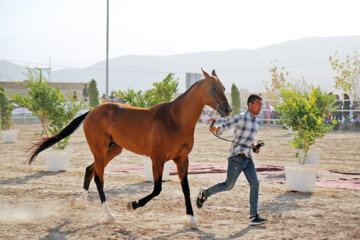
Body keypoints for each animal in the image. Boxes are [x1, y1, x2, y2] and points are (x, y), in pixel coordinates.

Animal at [28, 68, 231, 228]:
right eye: (213, 87)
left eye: (223, 87)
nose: (227, 110)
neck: (174, 120)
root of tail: (92, 111)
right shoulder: (157, 160)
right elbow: (157, 189)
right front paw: (132, 204)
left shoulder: (182, 159)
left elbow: (185, 189)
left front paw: (192, 219)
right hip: (100, 150)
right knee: (99, 179)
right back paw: (109, 215)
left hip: (113, 150)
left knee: (89, 170)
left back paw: (78, 201)